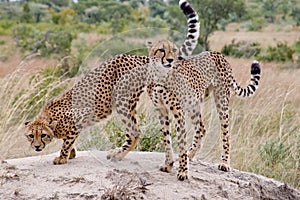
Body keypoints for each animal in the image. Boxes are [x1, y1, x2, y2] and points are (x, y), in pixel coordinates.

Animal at [24, 0, 200, 165]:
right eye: (31, 135)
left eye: (43, 135)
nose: (37, 146)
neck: (49, 117)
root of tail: (136, 57)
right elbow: (69, 141)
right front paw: (71, 153)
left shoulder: (77, 120)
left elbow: (67, 141)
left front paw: (62, 157)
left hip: (123, 101)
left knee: (135, 132)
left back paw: (117, 155)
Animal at [111, 41, 262, 180]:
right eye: (161, 50)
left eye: (174, 50)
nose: (170, 60)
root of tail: (217, 53)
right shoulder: (162, 110)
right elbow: (167, 139)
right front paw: (168, 164)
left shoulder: (178, 111)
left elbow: (181, 141)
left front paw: (183, 171)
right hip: (194, 103)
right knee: (201, 127)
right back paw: (191, 153)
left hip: (221, 99)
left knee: (225, 132)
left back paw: (224, 163)